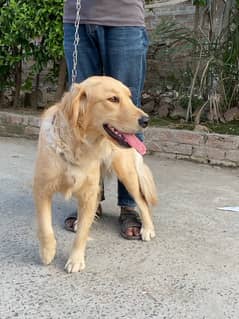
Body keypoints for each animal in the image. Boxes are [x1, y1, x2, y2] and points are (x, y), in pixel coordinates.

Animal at [33, 76, 157, 274]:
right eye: (113, 99)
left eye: (129, 98)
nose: (146, 120)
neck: (78, 146)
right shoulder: (42, 188)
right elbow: (45, 226)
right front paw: (47, 251)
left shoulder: (87, 192)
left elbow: (82, 234)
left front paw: (75, 259)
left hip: (126, 173)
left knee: (141, 201)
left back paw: (147, 228)